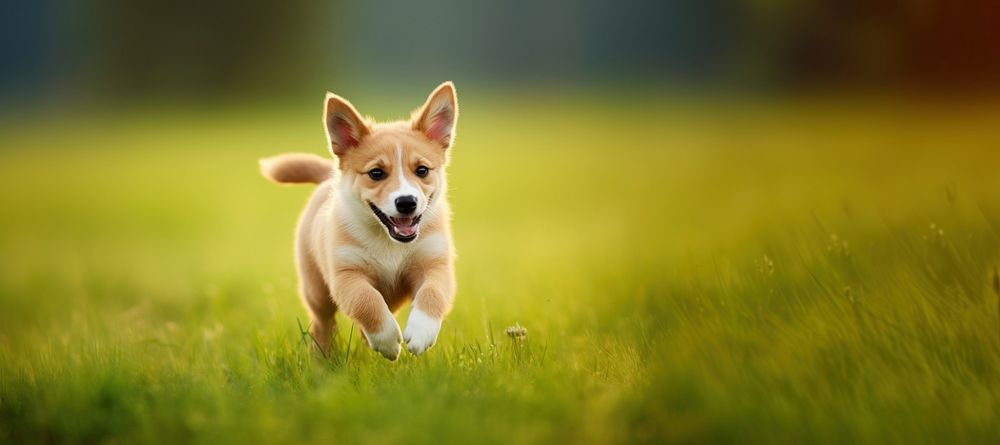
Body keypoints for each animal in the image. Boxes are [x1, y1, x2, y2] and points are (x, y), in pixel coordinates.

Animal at [260, 82, 458, 360]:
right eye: (376, 173)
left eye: (422, 170)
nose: (406, 202)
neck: (389, 243)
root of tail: (328, 177)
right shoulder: (346, 275)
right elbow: (367, 301)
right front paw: (387, 340)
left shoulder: (435, 265)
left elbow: (433, 293)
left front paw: (421, 334)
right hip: (316, 291)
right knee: (323, 323)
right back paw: (323, 359)